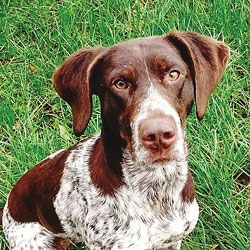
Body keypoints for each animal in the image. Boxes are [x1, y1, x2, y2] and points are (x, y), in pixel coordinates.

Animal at [0, 31, 229, 250]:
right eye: (120, 83)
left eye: (173, 74)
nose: (158, 134)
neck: (157, 187)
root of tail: (9, 205)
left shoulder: (171, 241)